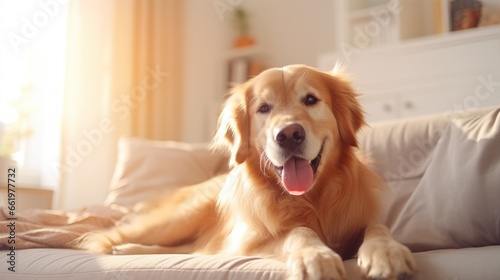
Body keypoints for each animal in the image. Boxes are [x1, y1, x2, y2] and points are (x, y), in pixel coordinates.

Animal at [78, 64, 414, 278]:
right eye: (264, 108)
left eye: (311, 100)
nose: (288, 134)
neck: (311, 199)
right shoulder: (251, 243)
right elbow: (297, 231)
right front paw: (315, 256)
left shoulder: (362, 220)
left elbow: (378, 229)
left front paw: (387, 252)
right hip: (179, 218)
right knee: (106, 236)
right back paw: (119, 246)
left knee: (192, 249)